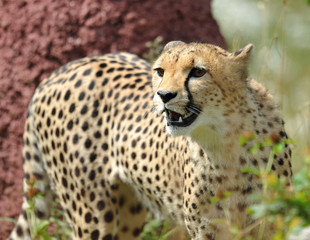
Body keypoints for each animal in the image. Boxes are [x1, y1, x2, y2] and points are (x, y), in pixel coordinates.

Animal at [8, 41, 292, 240]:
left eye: (198, 72)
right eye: (160, 71)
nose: (164, 95)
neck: (226, 141)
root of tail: (58, 71)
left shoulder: (268, 220)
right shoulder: (206, 228)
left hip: (128, 212)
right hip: (92, 214)